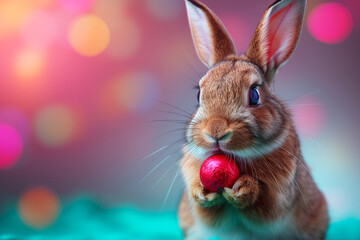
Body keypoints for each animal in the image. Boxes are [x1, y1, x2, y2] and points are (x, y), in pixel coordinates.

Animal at [177, 0, 330, 239]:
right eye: (198, 94)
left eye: (254, 95)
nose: (215, 130)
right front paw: (201, 191)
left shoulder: (279, 198)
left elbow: (264, 205)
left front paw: (245, 188)